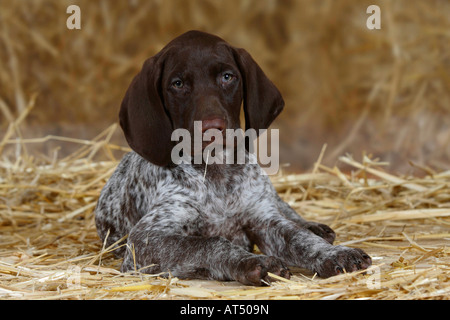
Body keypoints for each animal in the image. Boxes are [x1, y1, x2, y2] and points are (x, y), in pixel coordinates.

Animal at [94, 30, 370, 284]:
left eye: (227, 77)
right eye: (177, 84)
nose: (212, 127)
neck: (217, 171)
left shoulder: (264, 220)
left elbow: (301, 239)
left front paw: (335, 253)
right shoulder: (146, 239)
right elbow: (210, 243)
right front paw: (252, 261)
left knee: (286, 211)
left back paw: (314, 227)